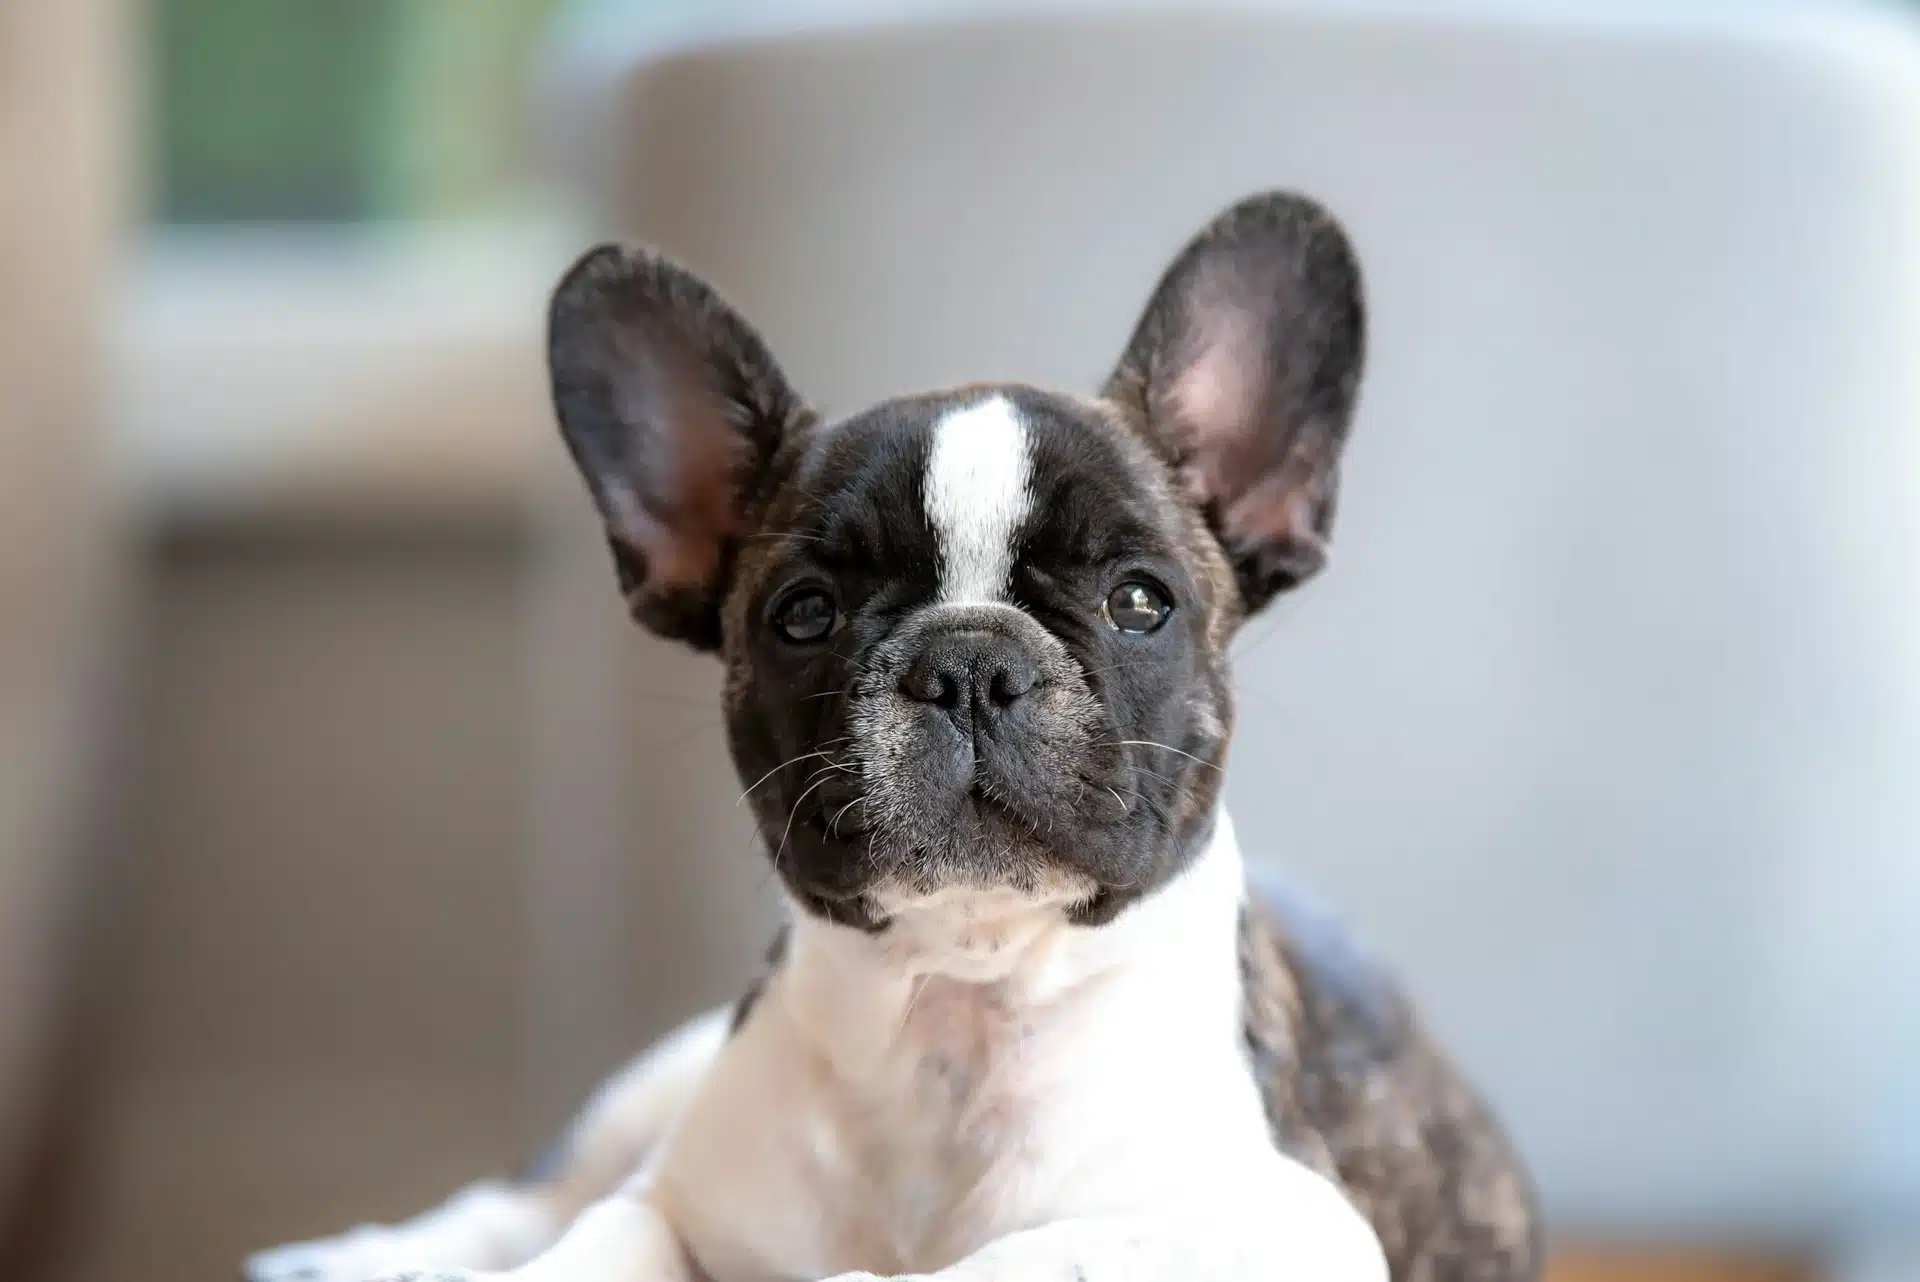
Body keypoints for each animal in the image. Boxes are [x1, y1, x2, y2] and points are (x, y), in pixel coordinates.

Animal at [251, 189, 1543, 1282]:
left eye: (1139, 601)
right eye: (805, 614)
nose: (968, 662)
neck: (953, 1014)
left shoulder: (1271, 1224)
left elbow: (1013, 1260)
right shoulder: (679, 1194)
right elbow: (606, 1233)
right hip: (651, 1083)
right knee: (530, 1198)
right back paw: (362, 1256)